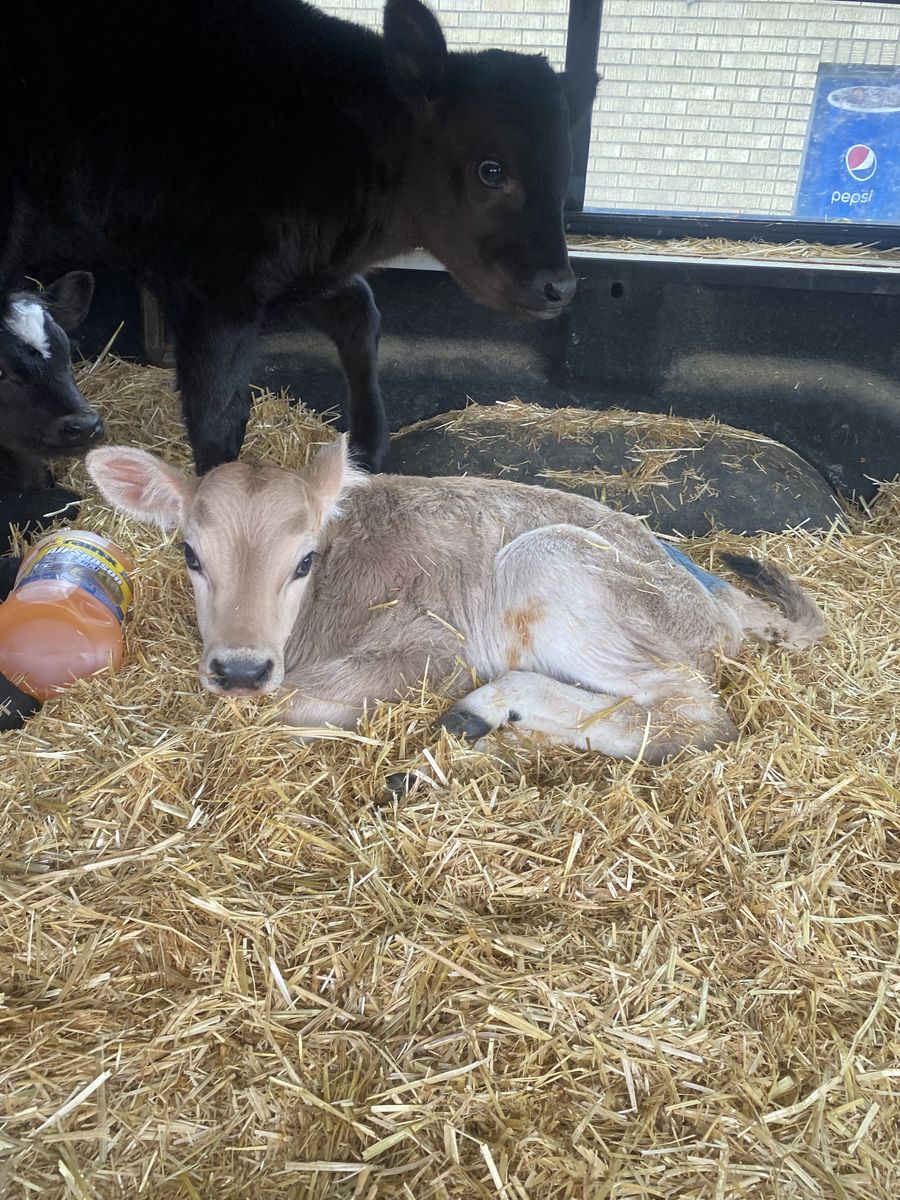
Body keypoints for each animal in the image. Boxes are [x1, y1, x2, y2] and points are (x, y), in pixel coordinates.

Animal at [2, 0, 598, 476]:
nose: (561, 287)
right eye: (492, 171)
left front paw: (368, 448)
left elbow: (360, 312)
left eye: (566, 168)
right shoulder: (215, 289)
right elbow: (218, 412)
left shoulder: (293, 272)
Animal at [86, 438, 826, 763]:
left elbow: (294, 703)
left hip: (552, 565)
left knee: (690, 714)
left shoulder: (434, 648)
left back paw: (485, 712)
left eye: (303, 560)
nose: (240, 669)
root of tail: (715, 599)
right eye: (191, 554)